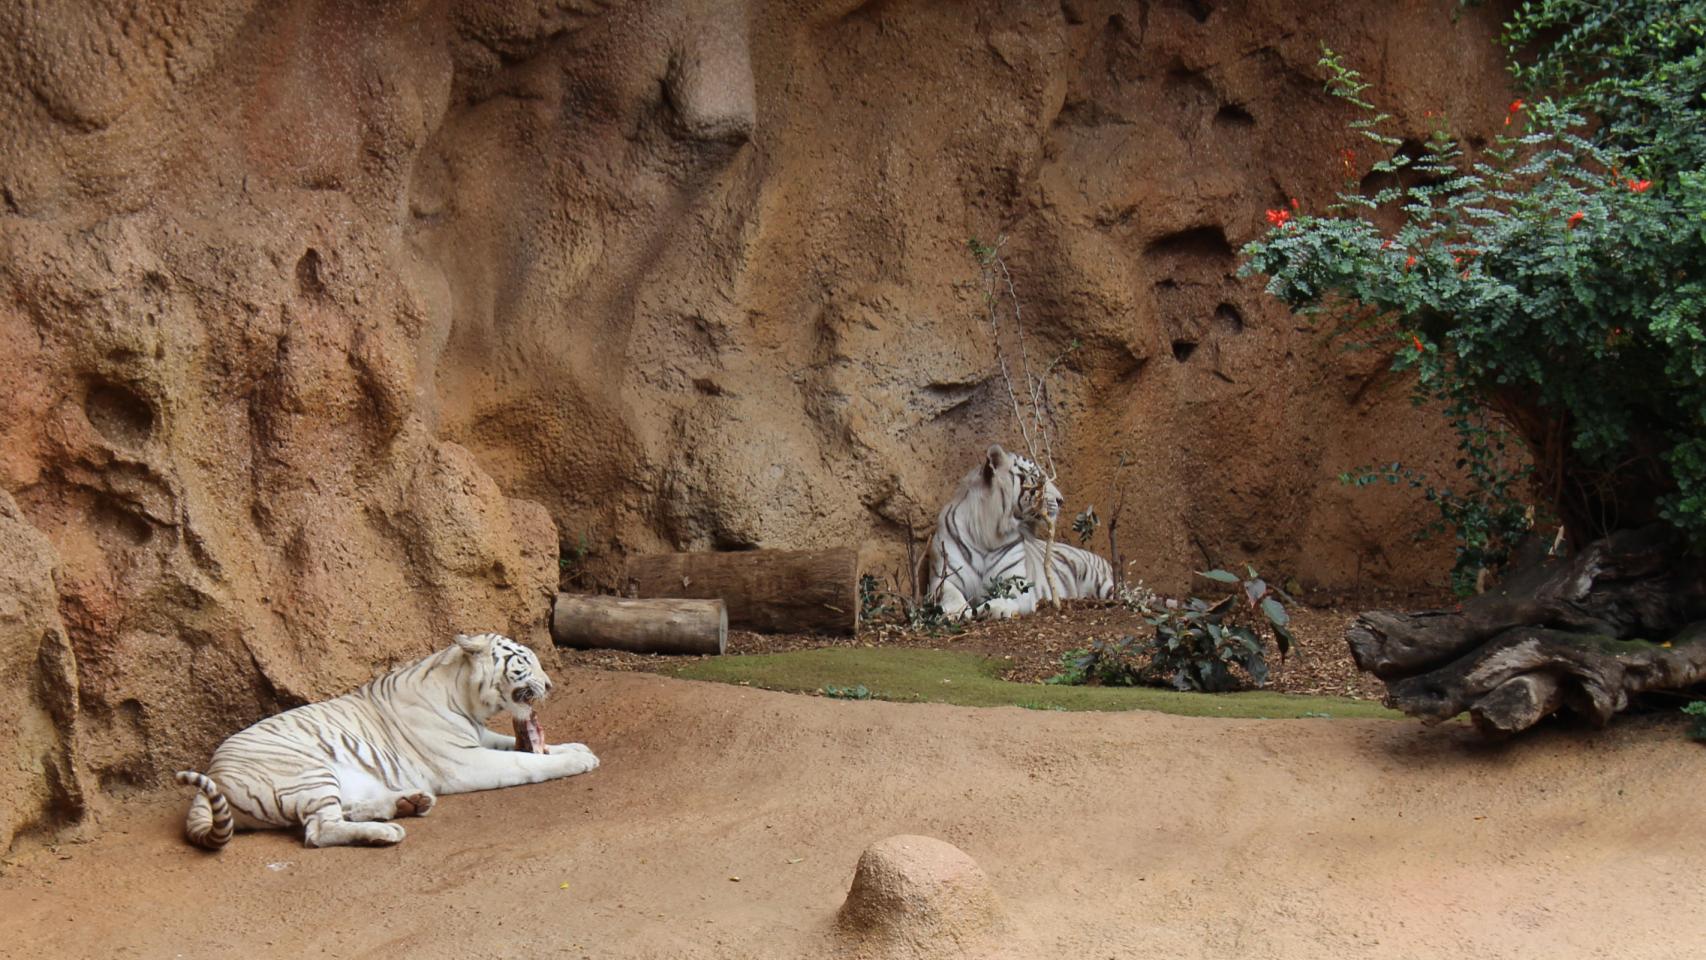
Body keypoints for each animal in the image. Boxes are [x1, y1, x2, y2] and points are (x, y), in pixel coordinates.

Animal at [174, 634, 600, 852]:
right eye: (524, 661)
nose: (550, 685)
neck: (464, 694)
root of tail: (215, 771)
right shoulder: (465, 761)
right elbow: (527, 763)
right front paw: (576, 762)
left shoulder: (481, 738)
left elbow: (522, 745)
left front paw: (578, 748)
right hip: (307, 772)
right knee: (319, 830)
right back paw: (387, 832)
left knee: (342, 812)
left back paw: (408, 803)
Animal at [928, 446, 1112, 620]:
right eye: (1037, 479)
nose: (1061, 500)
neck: (988, 533)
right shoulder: (944, 578)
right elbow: (951, 596)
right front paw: (952, 612)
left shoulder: (1018, 584)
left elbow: (1000, 600)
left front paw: (986, 609)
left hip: (1102, 582)